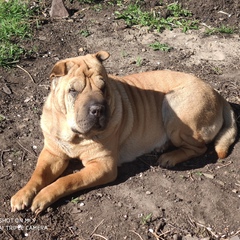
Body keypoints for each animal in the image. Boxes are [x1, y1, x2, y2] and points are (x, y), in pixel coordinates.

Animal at [9, 51, 236, 216]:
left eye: (103, 88)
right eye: (74, 90)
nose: (98, 109)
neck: (73, 133)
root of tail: (218, 94)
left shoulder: (103, 165)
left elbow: (69, 180)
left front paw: (43, 197)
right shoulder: (53, 153)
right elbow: (38, 174)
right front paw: (22, 195)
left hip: (174, 108)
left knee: (199, 147)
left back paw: (170, 157)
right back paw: (163, 147)